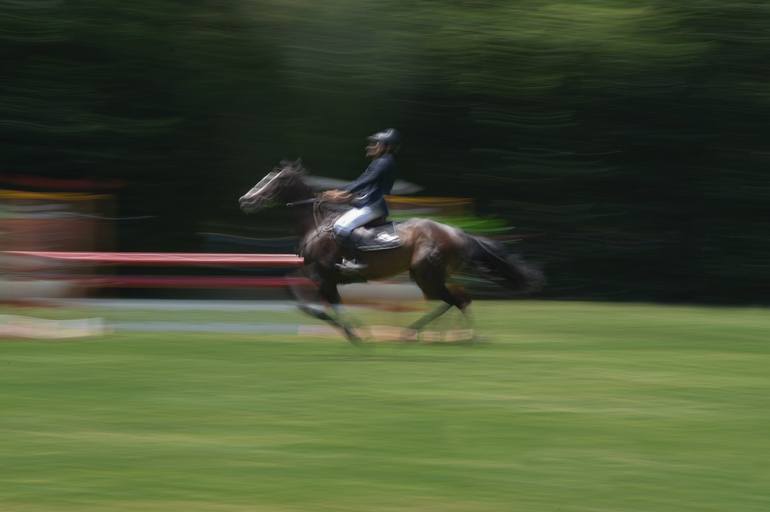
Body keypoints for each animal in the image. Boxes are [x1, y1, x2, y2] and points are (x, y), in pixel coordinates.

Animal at [237, 160, 544, 342]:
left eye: (274, 180)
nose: (245, 200)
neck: (317, 223)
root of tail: (458, 232)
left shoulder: (322, 275)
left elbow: (323, 303)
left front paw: (354, 332)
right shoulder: (317, 274)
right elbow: (300, 292)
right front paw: (352, 331)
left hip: (426, 276)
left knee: (456, 299)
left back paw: (444, 334)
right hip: (430, 277)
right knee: (458, 298)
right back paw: (441, 334)